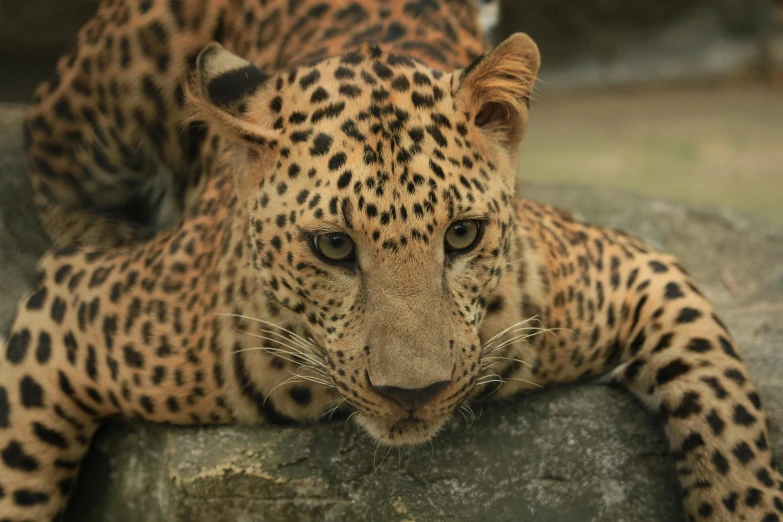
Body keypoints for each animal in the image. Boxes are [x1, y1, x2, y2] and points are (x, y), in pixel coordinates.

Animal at [1, 0, 783, 516]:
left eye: (461, 235)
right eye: (333, 246)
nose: (413, 395)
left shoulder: (634, 269)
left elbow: (731, 426)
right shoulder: (69, 315)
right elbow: (20, 479)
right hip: (107, 106)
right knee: (42, 140)